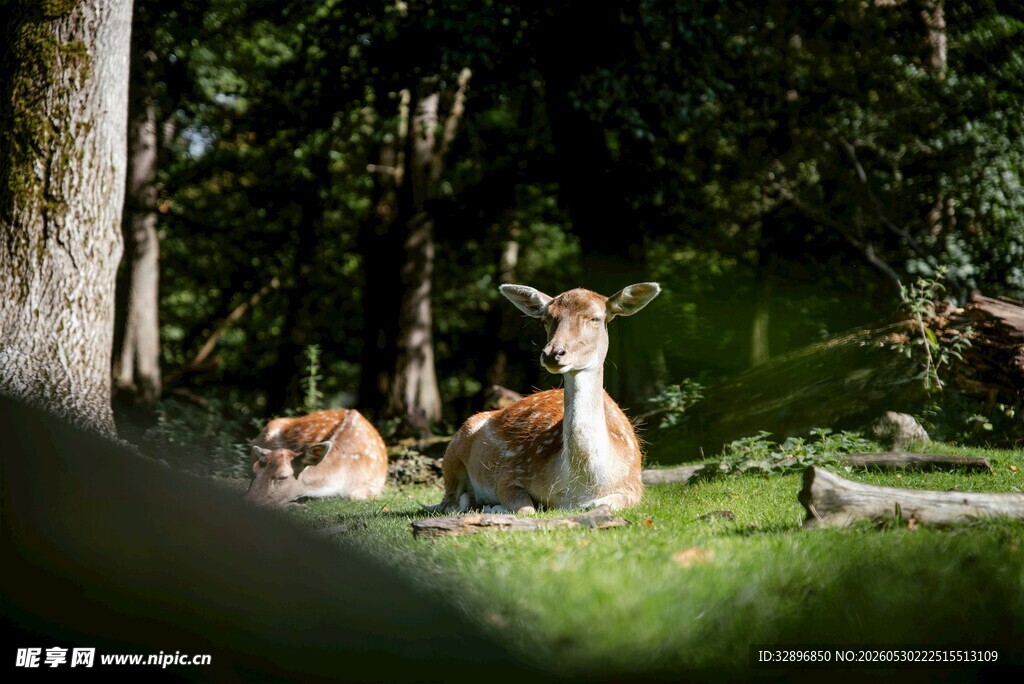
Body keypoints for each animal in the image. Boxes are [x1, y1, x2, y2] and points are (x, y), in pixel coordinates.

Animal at [429, 282, 661, 514]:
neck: (579, 486)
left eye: (595, 318)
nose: (553, 353)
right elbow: (525, 508)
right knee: (448, 501)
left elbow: (603, 503)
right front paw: (496, 507)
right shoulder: (513, 471)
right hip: (453, 451)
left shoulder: (634, 485)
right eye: (547, 319)